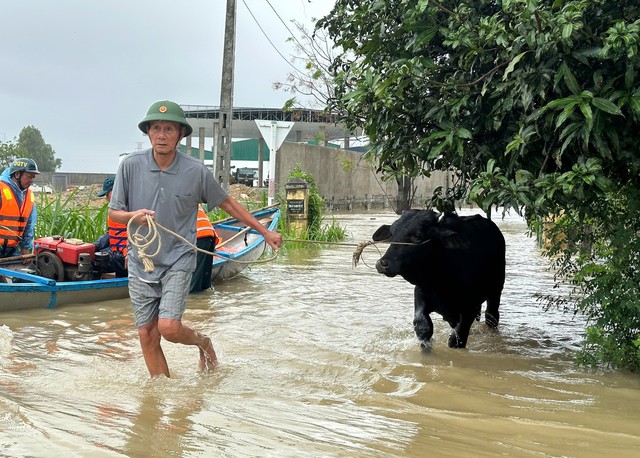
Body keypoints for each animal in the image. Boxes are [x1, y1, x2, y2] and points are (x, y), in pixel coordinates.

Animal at [376, 210, 504, 348]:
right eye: (391, 233)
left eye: (417, 235)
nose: (382, 263)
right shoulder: (420, 291)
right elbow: (423, 327)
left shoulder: (469, 309)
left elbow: (456, 339)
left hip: (496, 292)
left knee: (491, 316)